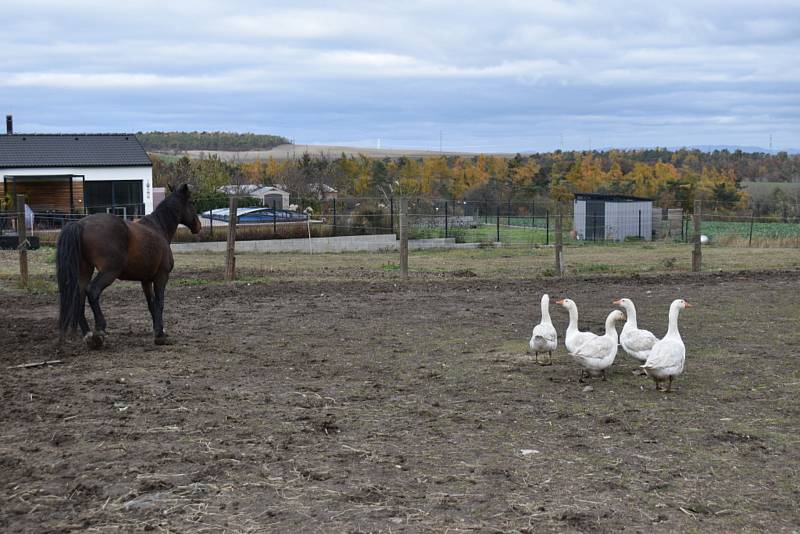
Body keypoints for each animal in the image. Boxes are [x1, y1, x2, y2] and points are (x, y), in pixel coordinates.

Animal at [55, 185, 202, 352]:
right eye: (191, 202)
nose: (198, 225)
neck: (158, 228)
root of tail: (80, 224)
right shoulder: (161, 277)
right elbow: (160, 303)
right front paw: (160, 336)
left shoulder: (145, 281)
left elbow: (151, 305)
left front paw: (159, 331)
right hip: (109, 272)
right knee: (92, 291)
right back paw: (99, 331)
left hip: (85, 271)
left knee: (78, 296)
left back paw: (89, 336)